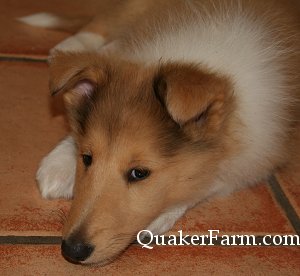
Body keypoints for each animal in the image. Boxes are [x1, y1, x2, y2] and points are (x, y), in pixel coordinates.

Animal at [19, 0, 298, 266]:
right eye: (87, 158)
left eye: (139, 173)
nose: (72, 250)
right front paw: (59, 166)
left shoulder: (260, 153)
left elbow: (210, 181)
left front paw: (162, 214)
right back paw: (70, 48)